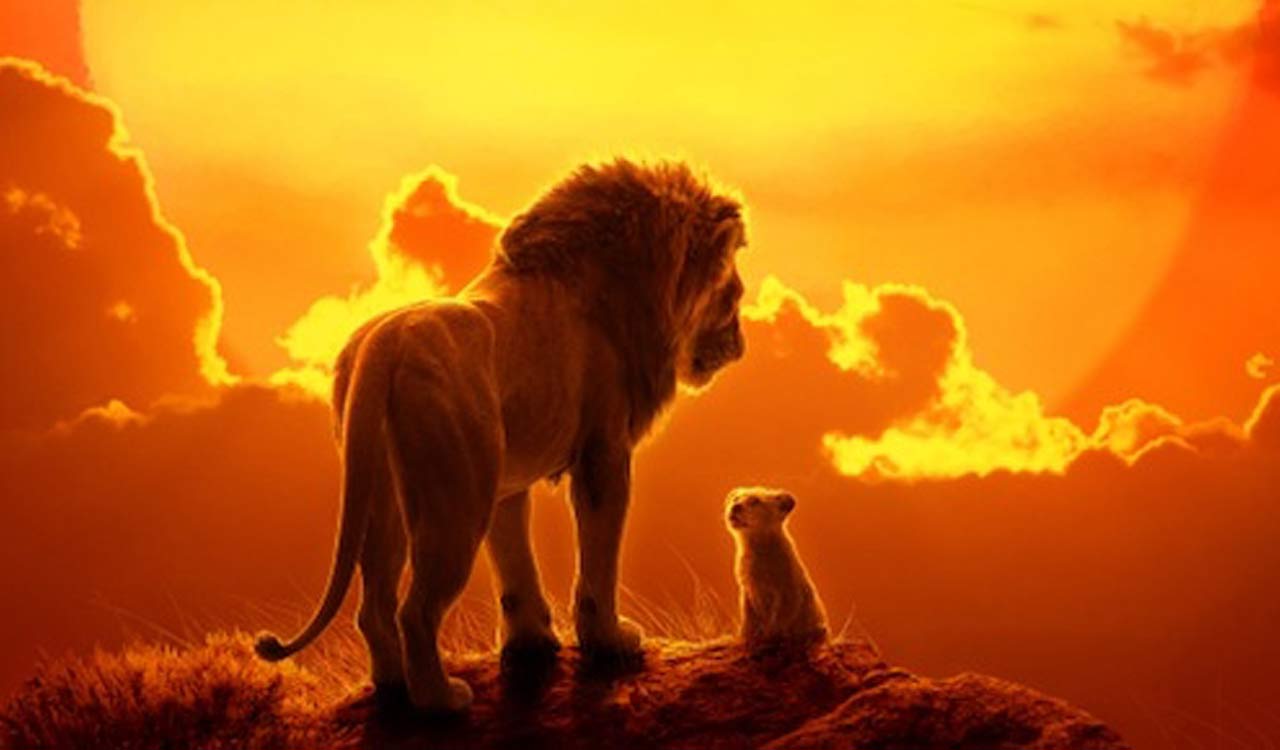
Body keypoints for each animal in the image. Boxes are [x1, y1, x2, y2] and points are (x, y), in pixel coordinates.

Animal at [254, 159, 748, 713]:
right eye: (733, 295)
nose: (741, 345)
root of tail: (384, 345)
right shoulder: (603, 453)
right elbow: (598, 557)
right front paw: (610, 641)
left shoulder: (506, 477)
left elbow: (514, 561)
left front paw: (532, 642)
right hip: (456, 498)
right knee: (415, 610)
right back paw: (441, 700)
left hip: (384, 492)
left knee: (375, 604)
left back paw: (394, 686)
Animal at [725, 487, 828, 647]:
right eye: (736, 498)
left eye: (755, 501)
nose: (736, 507)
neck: (755, 548)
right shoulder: (747, 590)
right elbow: (749, 620)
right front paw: (746, 638)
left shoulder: (787, 593)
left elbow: (777, 623)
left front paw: (769, 639)